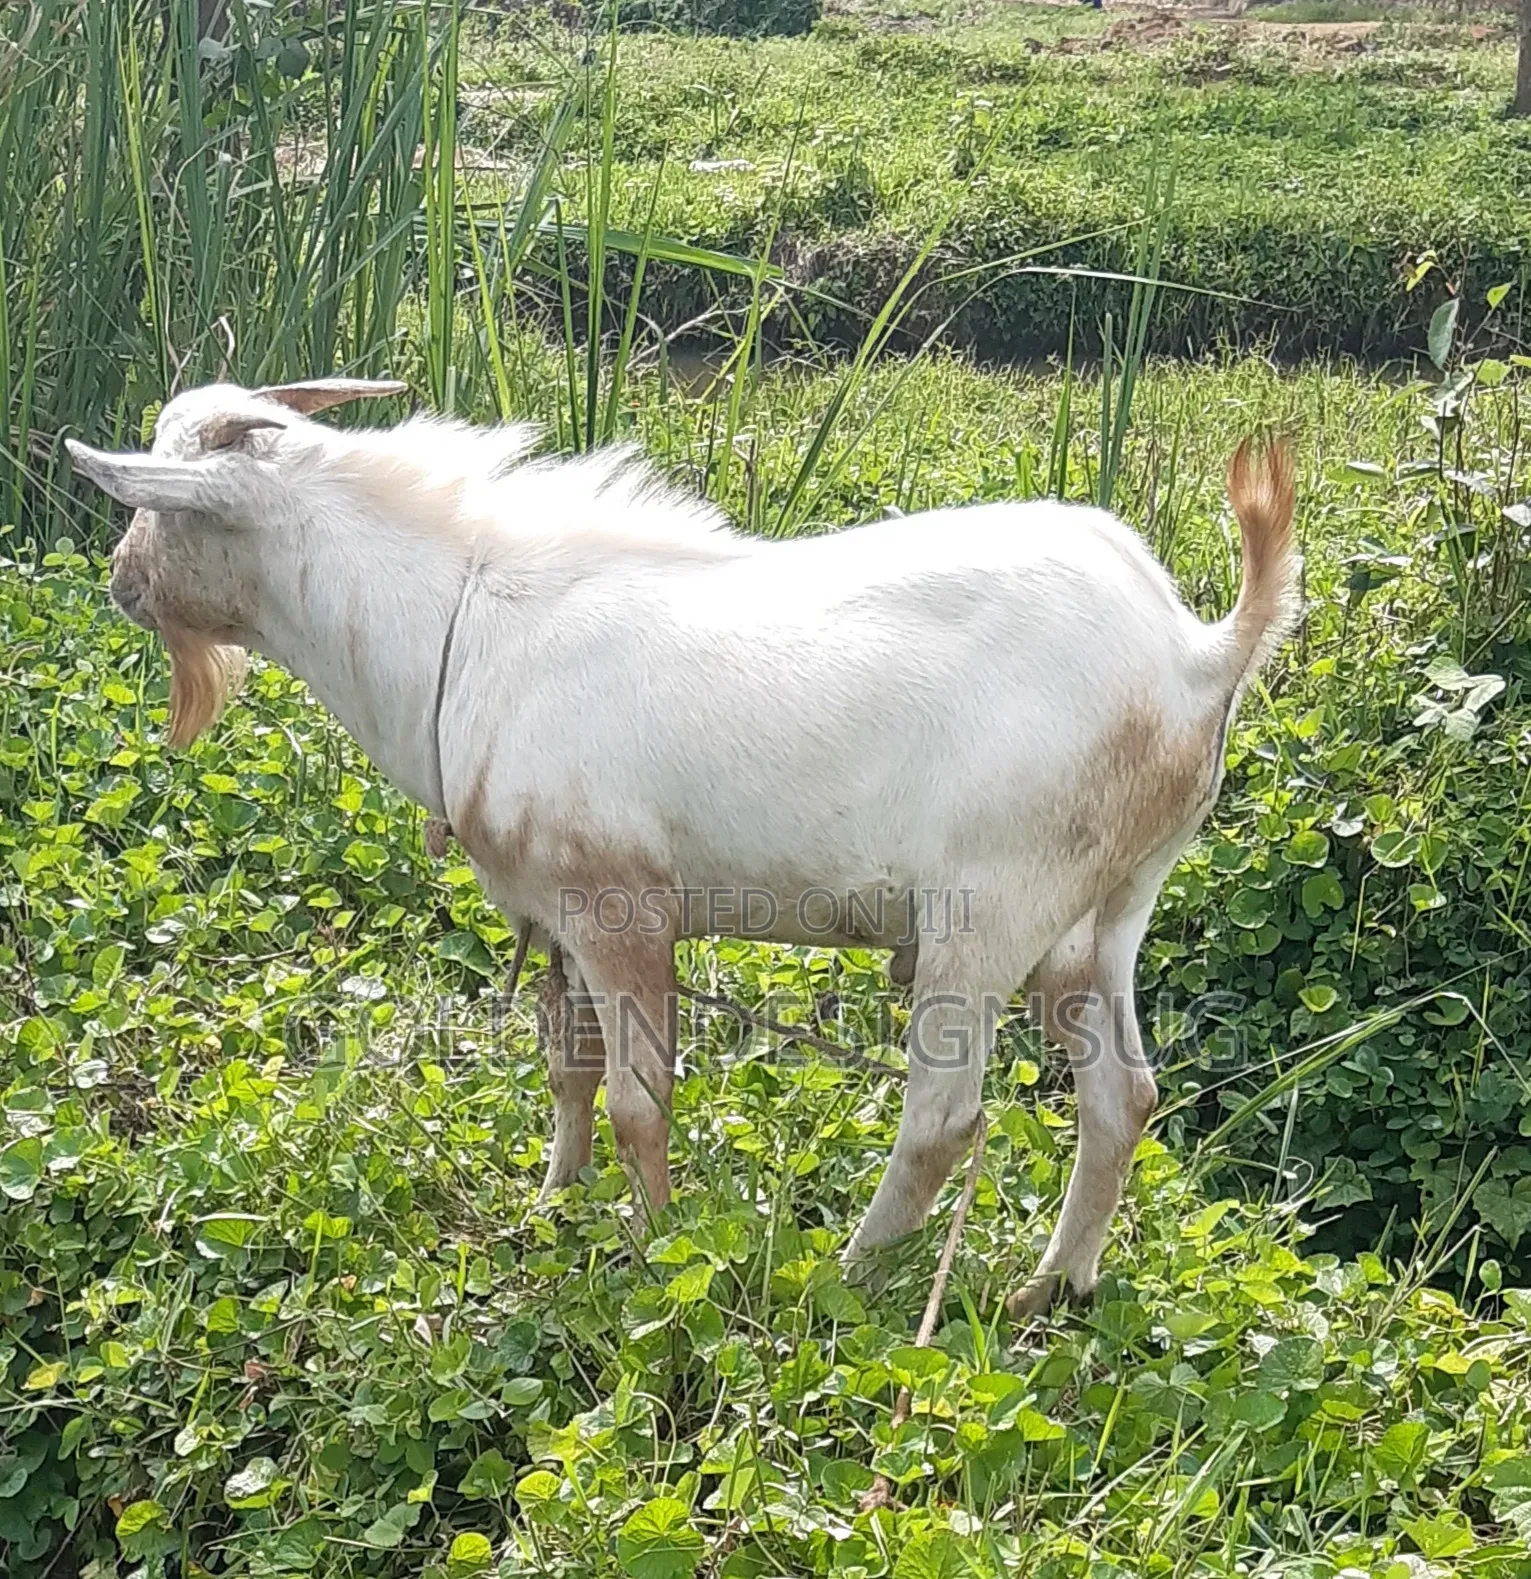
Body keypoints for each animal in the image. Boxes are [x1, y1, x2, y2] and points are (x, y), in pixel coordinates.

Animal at [68, 380, 1296, 1315]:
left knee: (943, 1118)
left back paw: (849, 1273)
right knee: (1123, 1094)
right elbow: (568, 1067)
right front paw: (551, 1205)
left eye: (163, 513)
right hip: (1102, 914)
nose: (118, 581)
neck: (461, 620)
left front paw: (652, 1251)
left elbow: (637, 1100)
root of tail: (1197, 653)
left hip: (986, 909)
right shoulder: (554, 909)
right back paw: (1054, 1286)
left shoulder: (622, 907)